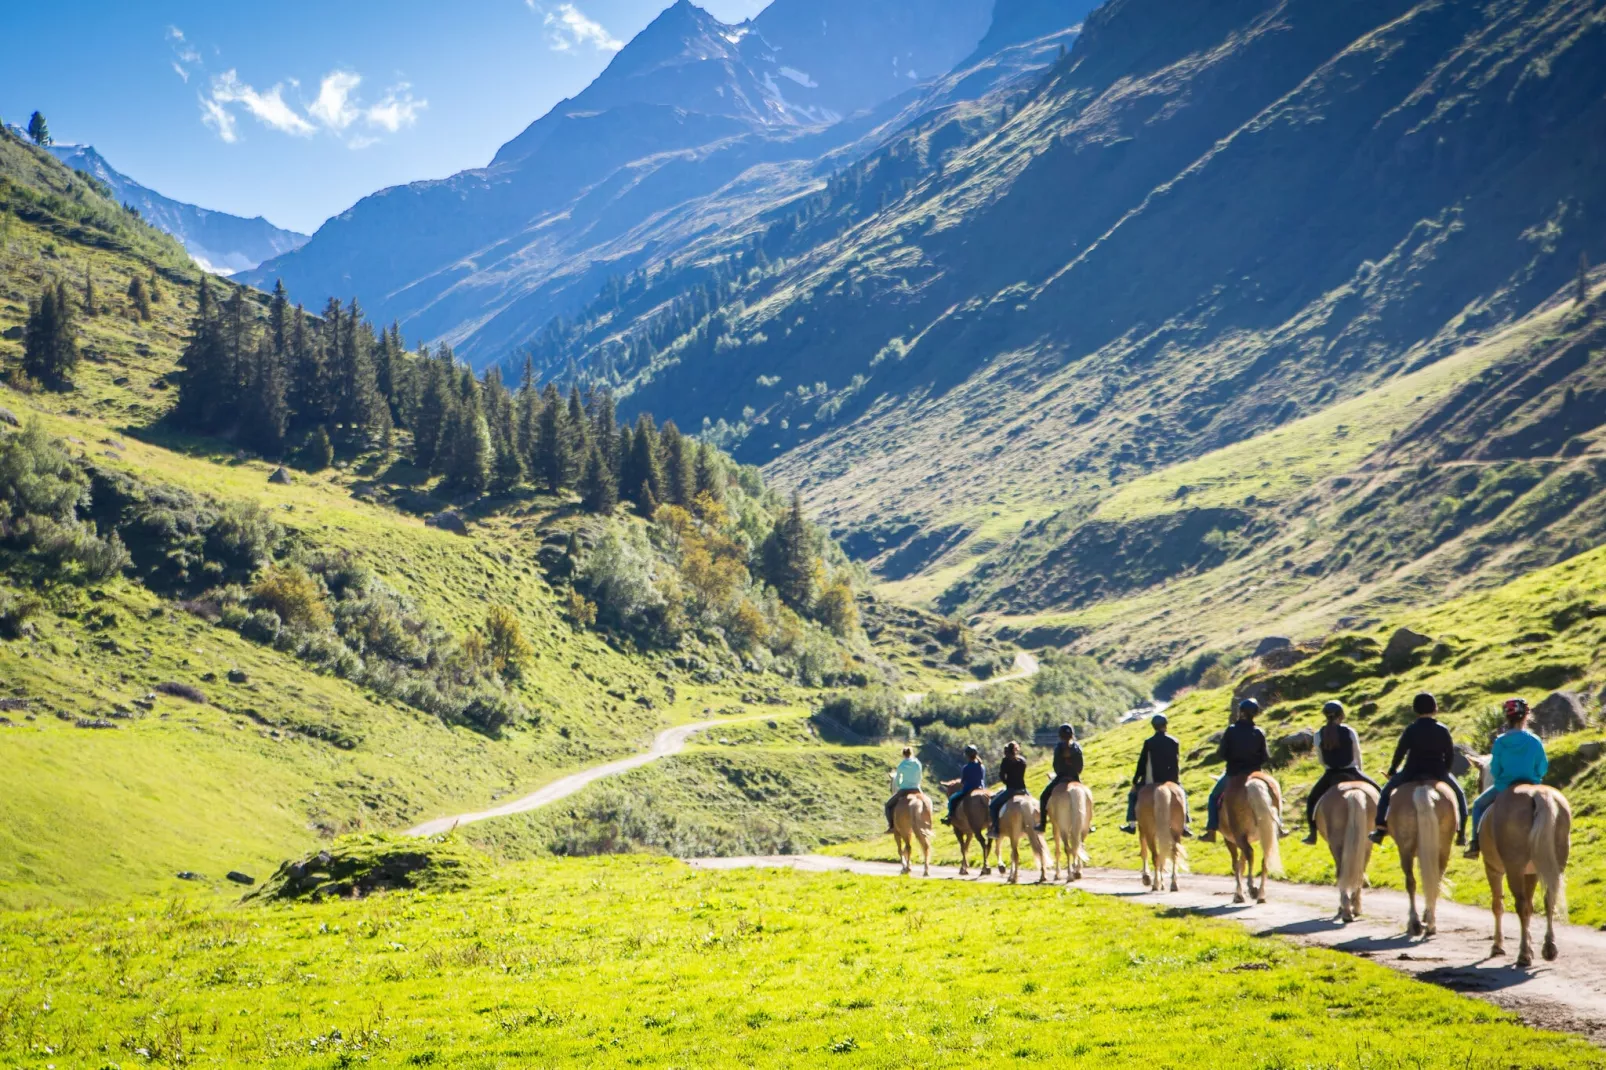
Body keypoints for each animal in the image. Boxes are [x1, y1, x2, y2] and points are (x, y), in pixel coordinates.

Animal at [1220, 767, 1284, 899]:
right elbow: (1242, 863)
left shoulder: (1230, 839)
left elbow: (1237, 864)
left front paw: (1238, 894)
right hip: (1269, 834)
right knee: (1265, 856)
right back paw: (1261, 895)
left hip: (1238, 835)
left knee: (1249, 853)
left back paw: (1252, 887)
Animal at [1310, 774, 1374, 918]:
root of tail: (1353, 791)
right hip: (1367, 843)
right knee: (1359, 871)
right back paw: (1355, 908)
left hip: (1336, 844)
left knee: (1341, 872)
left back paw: (1346, 911)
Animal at [1387, 774, 1464, 931]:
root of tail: (1423, 790)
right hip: (1443, 847)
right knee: (1437, 880)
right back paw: (1430, 921)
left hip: (1405, 849)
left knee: (1410, 882)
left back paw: (1414, 921)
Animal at [1471, 748, 1573, 963]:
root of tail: (1538, 795)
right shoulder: (1531, 872)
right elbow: (1532, 906)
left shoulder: (1493, 869)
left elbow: (1498, 905)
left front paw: (1498, 946)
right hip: (1555, 864)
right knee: (1548, 900)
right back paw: (1549, 948)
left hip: (1513, 869)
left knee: (1520, 905)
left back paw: (1524, 954)